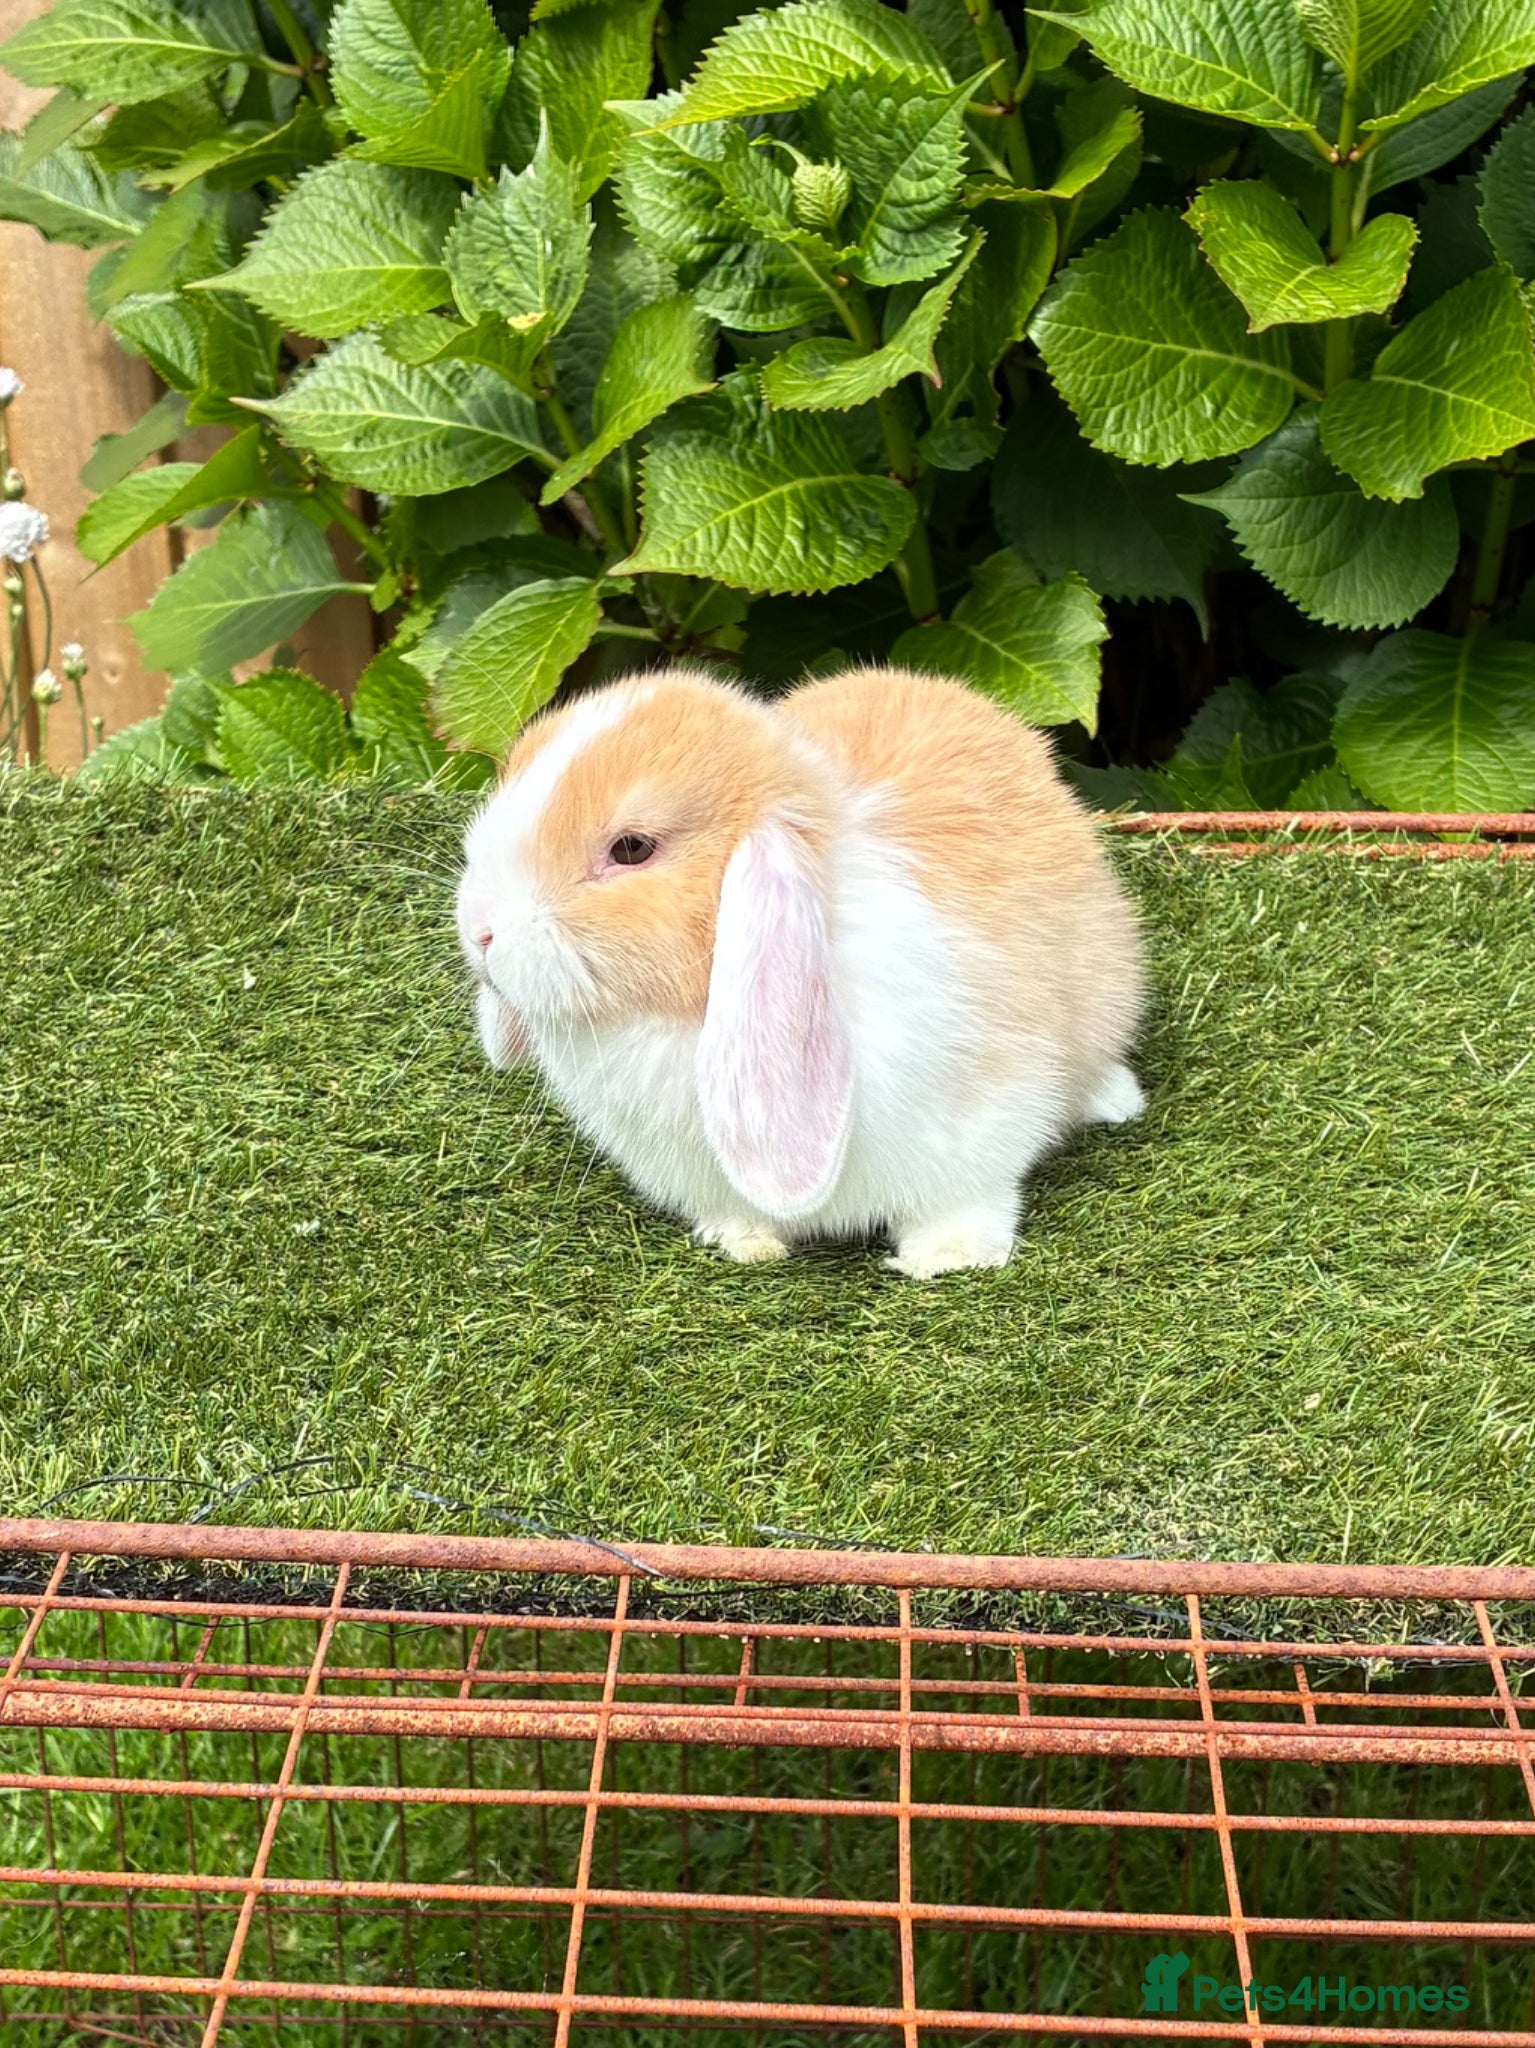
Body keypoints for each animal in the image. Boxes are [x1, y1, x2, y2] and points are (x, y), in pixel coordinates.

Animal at [455, 663, 1146, 1277]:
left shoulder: (989, 1108)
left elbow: (968, 1197)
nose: (479, 928)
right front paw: (742, 1241)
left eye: (631, 848)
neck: (681, 1018)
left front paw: (947, 1259)